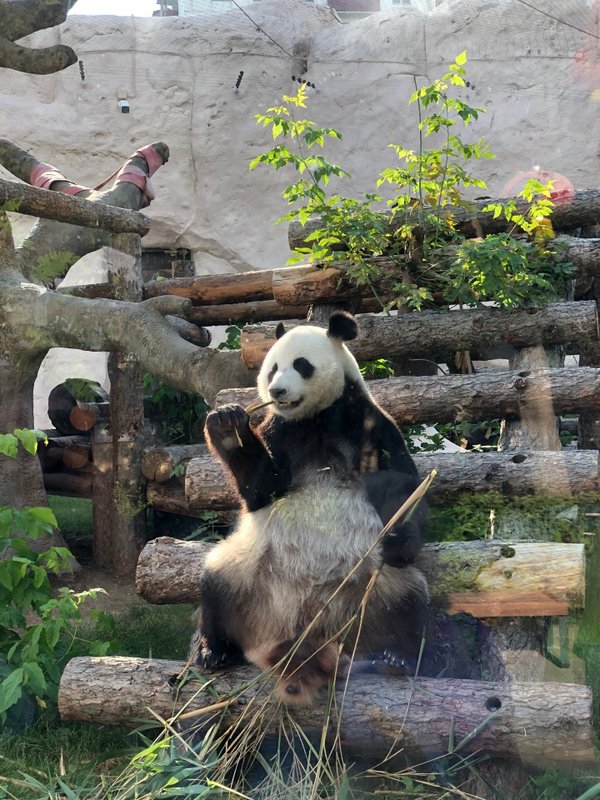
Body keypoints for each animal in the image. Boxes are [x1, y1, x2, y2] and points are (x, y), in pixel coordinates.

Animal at [194, 311, 432, 706]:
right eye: (272, 369)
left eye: (301, 365)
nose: (276, 392)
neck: (316, 418)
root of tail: (306, 625)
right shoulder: (281, 430)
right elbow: (263, 488)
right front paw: (228, 426)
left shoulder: (366, 422)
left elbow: (403, 484)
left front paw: (400, 536)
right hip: (247, 573)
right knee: (215, 585)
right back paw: (215, 651)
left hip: (373, 582)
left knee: (407, 600)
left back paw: (396, 656)